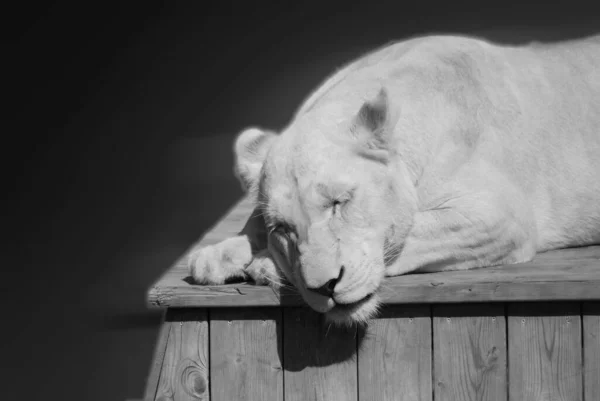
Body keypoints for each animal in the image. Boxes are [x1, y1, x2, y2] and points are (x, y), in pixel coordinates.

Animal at [189, 32, 600, 324]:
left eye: (340, 202)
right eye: (283, 229)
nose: (326, 286)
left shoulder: (503, 217)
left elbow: (409, 234)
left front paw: (263, 266)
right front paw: (215, 257)